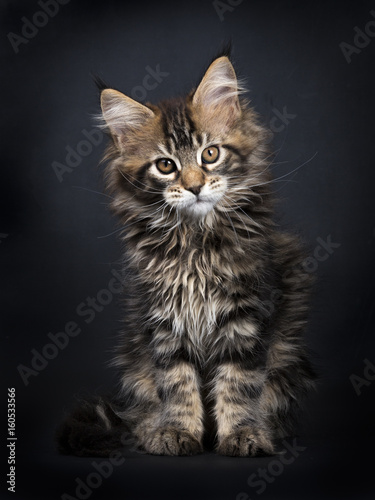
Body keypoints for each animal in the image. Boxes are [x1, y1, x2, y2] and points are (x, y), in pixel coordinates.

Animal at [57, 53, 316, 458]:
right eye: (166, 165)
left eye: (210, 154)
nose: (194, 187)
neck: (195, 240)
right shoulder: (164, 318)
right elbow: (176, 384)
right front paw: (177, 432)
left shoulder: (247, 315)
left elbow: (239, 384)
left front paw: (243, 434)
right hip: (136, 362)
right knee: (144, 408)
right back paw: (151, 429)